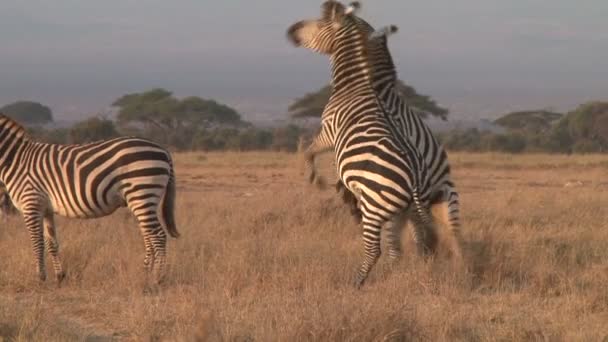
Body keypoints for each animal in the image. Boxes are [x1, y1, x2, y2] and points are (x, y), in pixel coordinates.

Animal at [0, 113, 179, 284]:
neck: (15, 159)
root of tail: (163, 149)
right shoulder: (45, 209)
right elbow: (51, 243)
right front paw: (59, 276)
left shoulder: (31, 203)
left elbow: (37, 243)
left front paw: (40, 278)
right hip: (143, 199)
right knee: (148, 236)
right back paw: (145, 274)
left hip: (142, 193)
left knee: (158, 236)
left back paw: (157, 279)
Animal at [296, 1, 464, 262]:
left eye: (321, 23)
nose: (292, 31)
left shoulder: (338, 134)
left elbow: (315, 153)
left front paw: (323, 182)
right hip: (436, 204)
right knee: (444, 239)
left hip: (422, 202)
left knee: (417, 239)